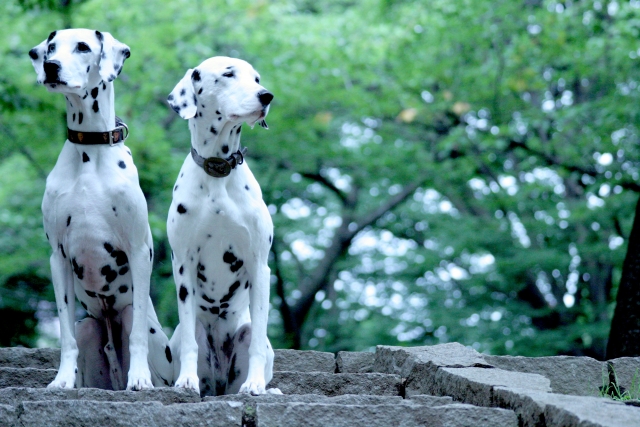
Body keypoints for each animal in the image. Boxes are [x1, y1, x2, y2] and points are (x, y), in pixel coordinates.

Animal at [29, 29, 172, 392]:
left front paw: (140, 378)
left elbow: (137, 335)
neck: (89, 151)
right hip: (89, 326)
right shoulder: (58, 257)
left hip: (142, 326)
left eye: (82, 47)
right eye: (51, 48)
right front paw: (62, 380)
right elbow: (65, 336)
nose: (50, 66)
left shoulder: (139, 251)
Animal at [168, 56, 280, 398]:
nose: (266, 96)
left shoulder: (260, 266)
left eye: (256, 78)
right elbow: (190, 344)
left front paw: (254, 384)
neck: (217, 172)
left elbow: (257, 341)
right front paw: (186, 381)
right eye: (228, 75)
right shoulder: (183, 266)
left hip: (250, 334)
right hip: (183, 332)